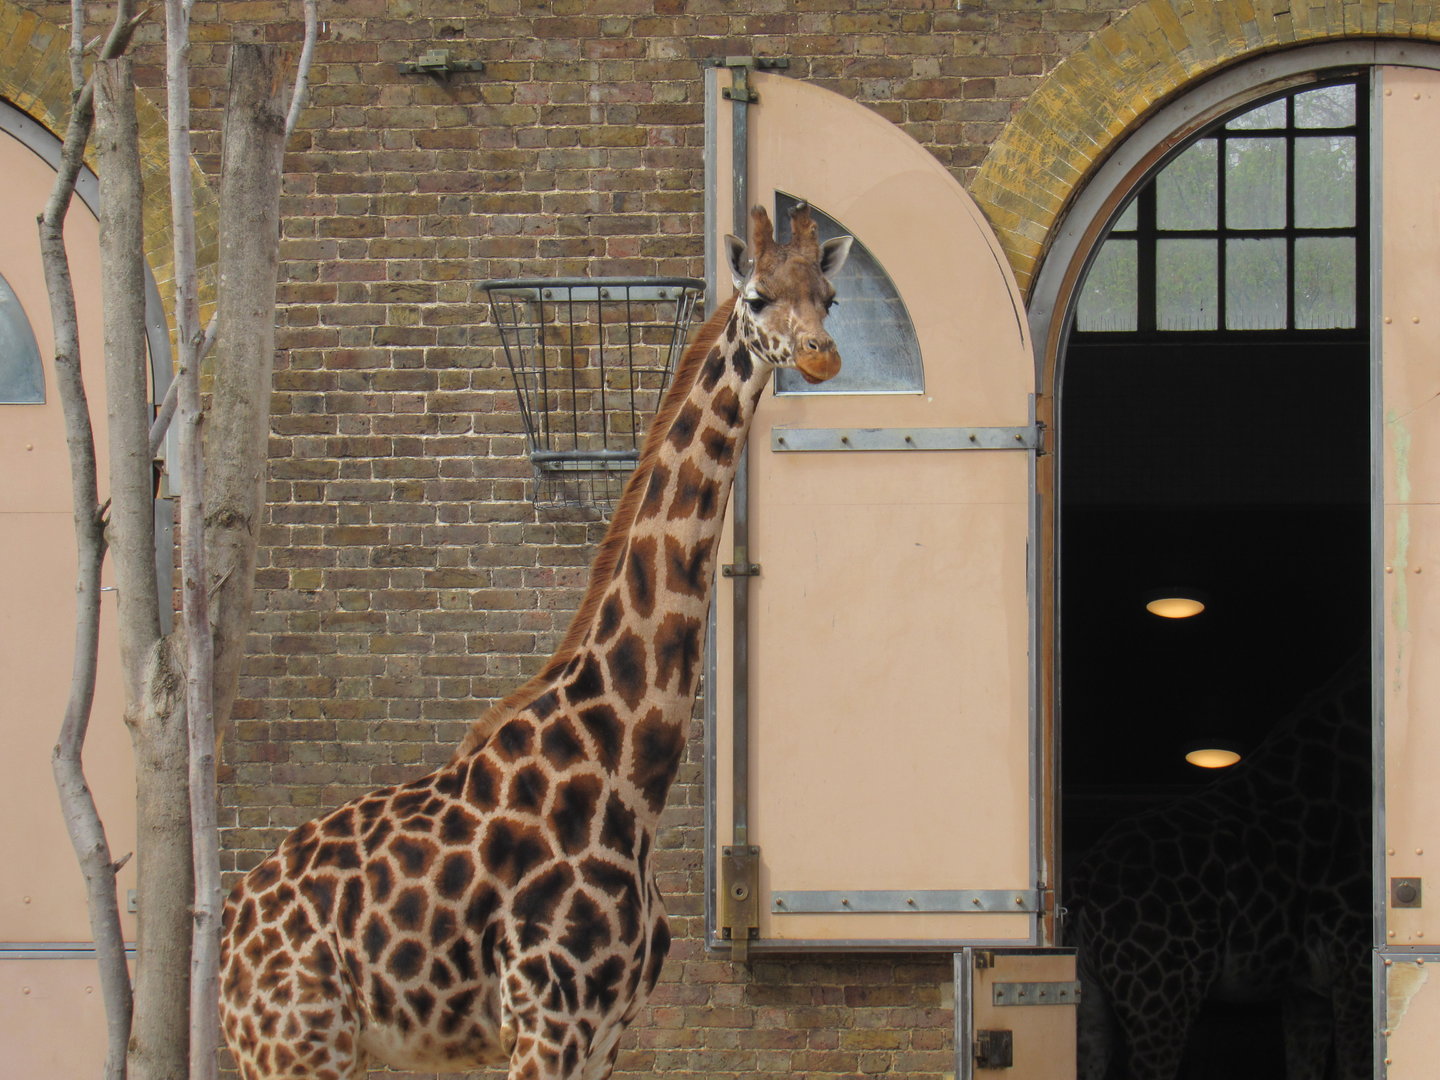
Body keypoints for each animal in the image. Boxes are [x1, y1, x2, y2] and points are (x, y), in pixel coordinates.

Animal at [218, 202, 852, 1080]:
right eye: (758, 296)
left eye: (829, 296)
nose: (823, 355)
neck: (625, 771)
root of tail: (227, 936)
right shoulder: (548, 1020)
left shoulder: (608, 1030)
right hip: (292, 1046)